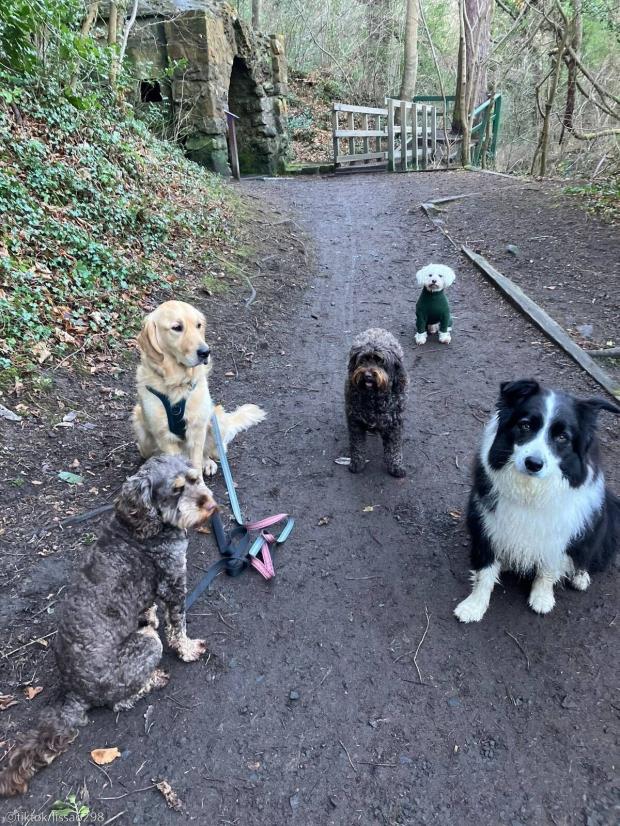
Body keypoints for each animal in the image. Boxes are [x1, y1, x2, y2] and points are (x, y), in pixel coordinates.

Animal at [0, 454, 218, 796]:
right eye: (176, 490)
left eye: (196, 480)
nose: (210, 505)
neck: (141, 526)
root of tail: (74, 692)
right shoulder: (173, 583)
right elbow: (178, 625)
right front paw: (188, 648)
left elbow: (149, 606)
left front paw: (149, 616)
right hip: (146, 645)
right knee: (121, 701)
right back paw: (153, 679)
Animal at [344, 326, 406, 474]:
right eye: (362, 360)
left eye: (380, 361)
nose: (367, 375)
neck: (374, 397)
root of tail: (376, 329)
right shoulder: (355, 422)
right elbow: (357, 446)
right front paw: (357, 464)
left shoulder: (394, 424)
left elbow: (394, 447)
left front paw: (396, 466)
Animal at [452, 376, 616, 620]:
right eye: (525, 425)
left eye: (562, 437)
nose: (534, 463)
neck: (530, 491)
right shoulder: (487, 524)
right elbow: (485, 572)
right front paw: (474, 605)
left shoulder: (558, 533)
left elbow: (549, 568)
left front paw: (542, 597)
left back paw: (580, 576)